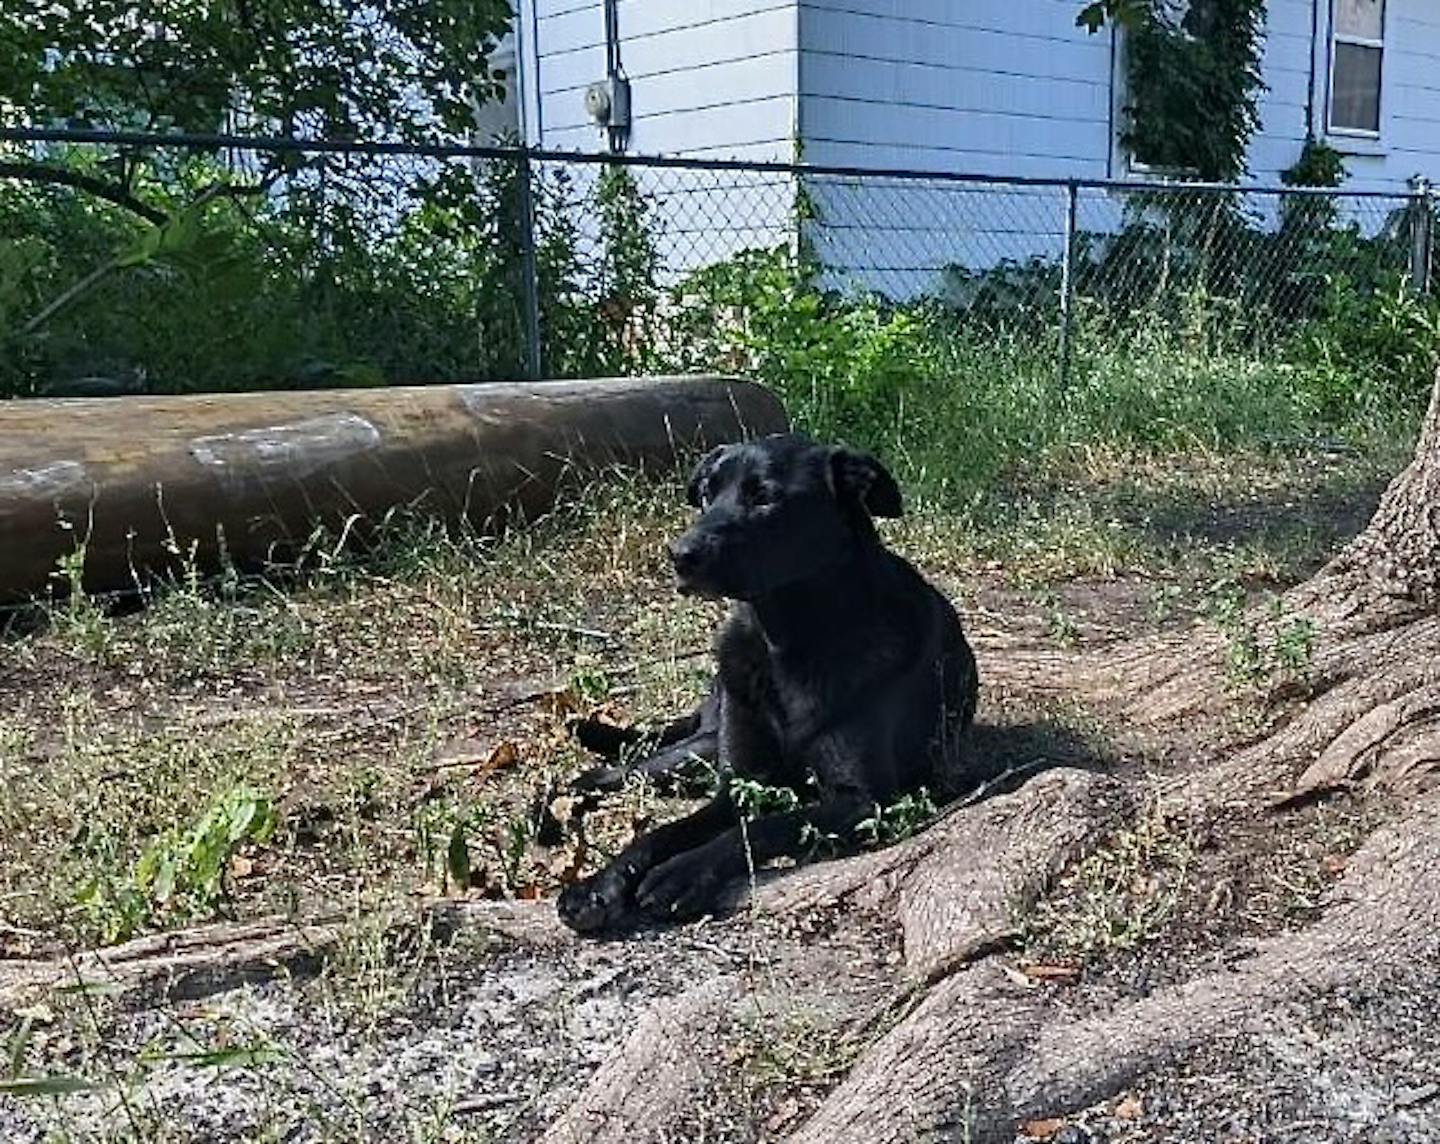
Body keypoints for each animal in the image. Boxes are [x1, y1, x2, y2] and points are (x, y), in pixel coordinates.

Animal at [550, 432, 979, 933]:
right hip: (702, 746)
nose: (680, 554)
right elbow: (666, 832)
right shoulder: (738, 783)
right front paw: (598, 886)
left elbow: (759, 827)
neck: (788, 638)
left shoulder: (864, 801)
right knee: (605, 775)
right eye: (707, 493)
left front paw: (680, 873)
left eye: (765, 497)